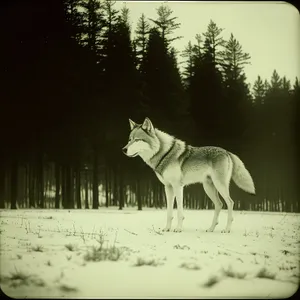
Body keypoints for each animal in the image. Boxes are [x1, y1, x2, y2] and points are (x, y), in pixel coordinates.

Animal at [122, 118, 255, 233]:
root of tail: (227, 152)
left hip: (219, 186)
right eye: (129, 140)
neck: (164, 153)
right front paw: (167, 229)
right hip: (208, 188)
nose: (123, 149)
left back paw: (226, 229)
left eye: (137, 140)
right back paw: (211, 229)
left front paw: (178, 229)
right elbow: (169, 212)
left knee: (230, 202)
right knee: (219, 204)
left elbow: (179, 211)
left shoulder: (178, 186)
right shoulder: (168, 187)